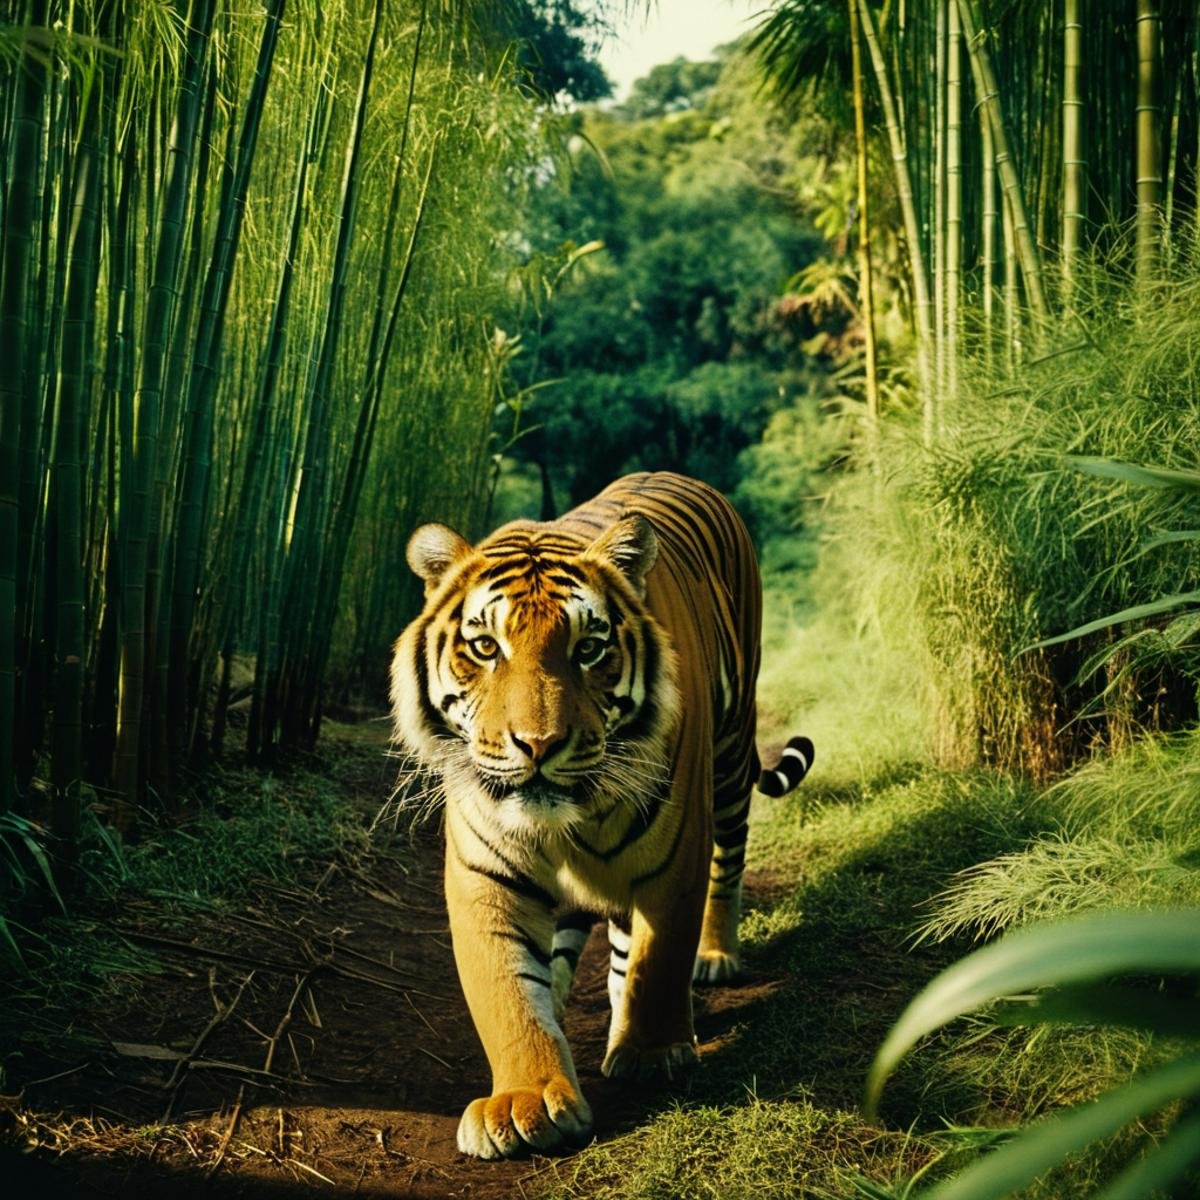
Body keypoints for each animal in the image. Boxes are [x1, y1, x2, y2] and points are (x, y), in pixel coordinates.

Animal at [388, 472, 811, 1156]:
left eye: (588, 648)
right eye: (485, 646)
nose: (537, 745)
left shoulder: (674, 855)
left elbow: (656, 958)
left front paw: (651, 1053)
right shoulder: (485, 873)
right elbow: (506, 990)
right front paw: (526, 1098)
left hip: (728, 757)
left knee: (727, 863)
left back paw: (714, 956)